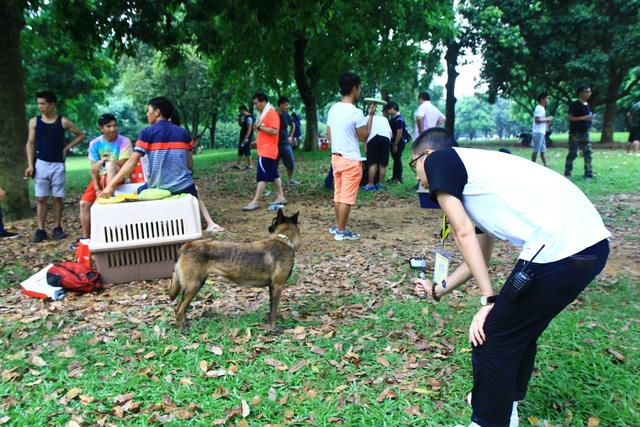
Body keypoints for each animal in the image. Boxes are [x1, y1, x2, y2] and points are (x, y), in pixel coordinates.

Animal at [170, 210, 300, 332]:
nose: (269, 227)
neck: (284, 240)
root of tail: (187, 245)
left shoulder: (272, 287)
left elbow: (271, 308)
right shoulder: (277, 286)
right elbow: (273, 312)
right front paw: (273, 329)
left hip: (195, 285)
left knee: (184, 308)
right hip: (193, 286)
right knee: (179, 309)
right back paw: (182, 330)